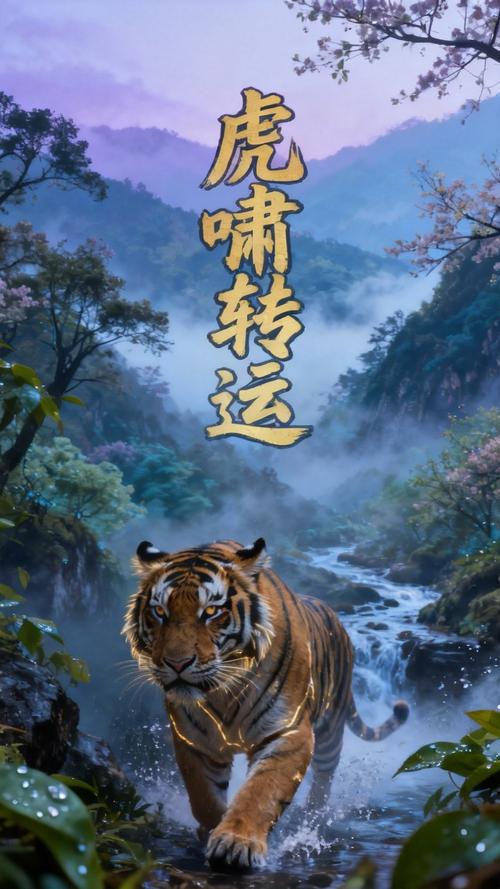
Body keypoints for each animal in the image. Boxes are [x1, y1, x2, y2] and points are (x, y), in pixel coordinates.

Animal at [123, 536, 409, 870]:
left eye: (210, 611)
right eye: (159, 611)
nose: (176, 663)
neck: (223, 690)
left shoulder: (288, 732)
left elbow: (260, 792)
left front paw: (236, 843)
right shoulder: (194, 740)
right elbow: (204, 798)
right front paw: (211, 831)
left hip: (330, 731)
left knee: (324, 779)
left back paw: (313, 813)